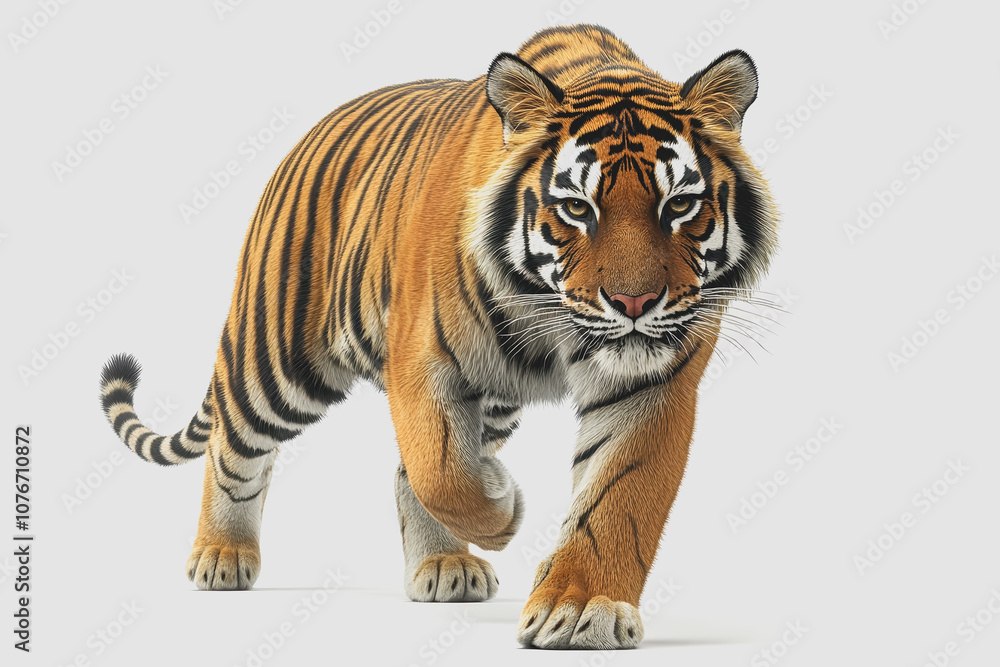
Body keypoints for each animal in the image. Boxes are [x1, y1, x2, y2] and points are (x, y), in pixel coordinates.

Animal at [98, 24, 777, 649]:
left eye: (680, 205)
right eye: (577, 209)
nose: (634, 303)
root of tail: (309, 135)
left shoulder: (651, 384)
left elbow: (619, 499)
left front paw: (583, 609)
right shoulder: (423, 361)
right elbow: (441, 470)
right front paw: (502, 511)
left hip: (491, 402)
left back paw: (444, 564)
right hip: (277, 363)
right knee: (234, 448)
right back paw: (222, 555)